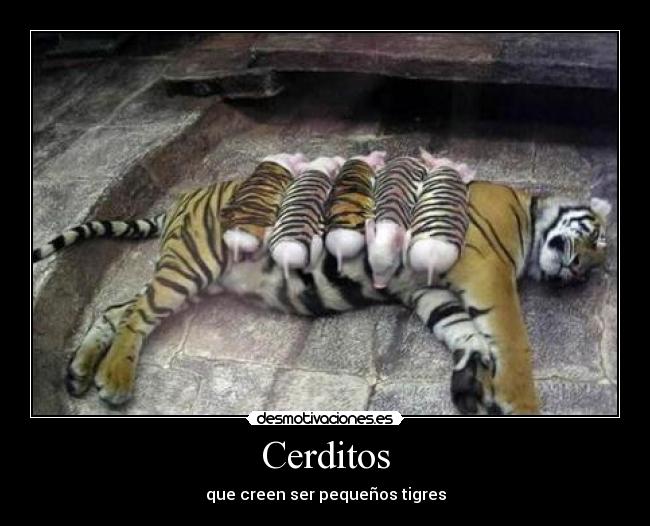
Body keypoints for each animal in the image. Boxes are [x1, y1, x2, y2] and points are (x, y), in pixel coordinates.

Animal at [32, 178, 611, 414]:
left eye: (592, 266)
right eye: (596, 240)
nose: (577, 271)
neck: (529, 216)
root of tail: (186, 197)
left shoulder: (427, 291)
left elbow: (464, 332)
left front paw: (470, 384)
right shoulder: (487, 273)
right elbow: (510, 339)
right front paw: (519, 402)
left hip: (190, 275)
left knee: (118, 307)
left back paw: (80, 372)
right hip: (193, 263)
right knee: (137, 315)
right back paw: (113, 380)